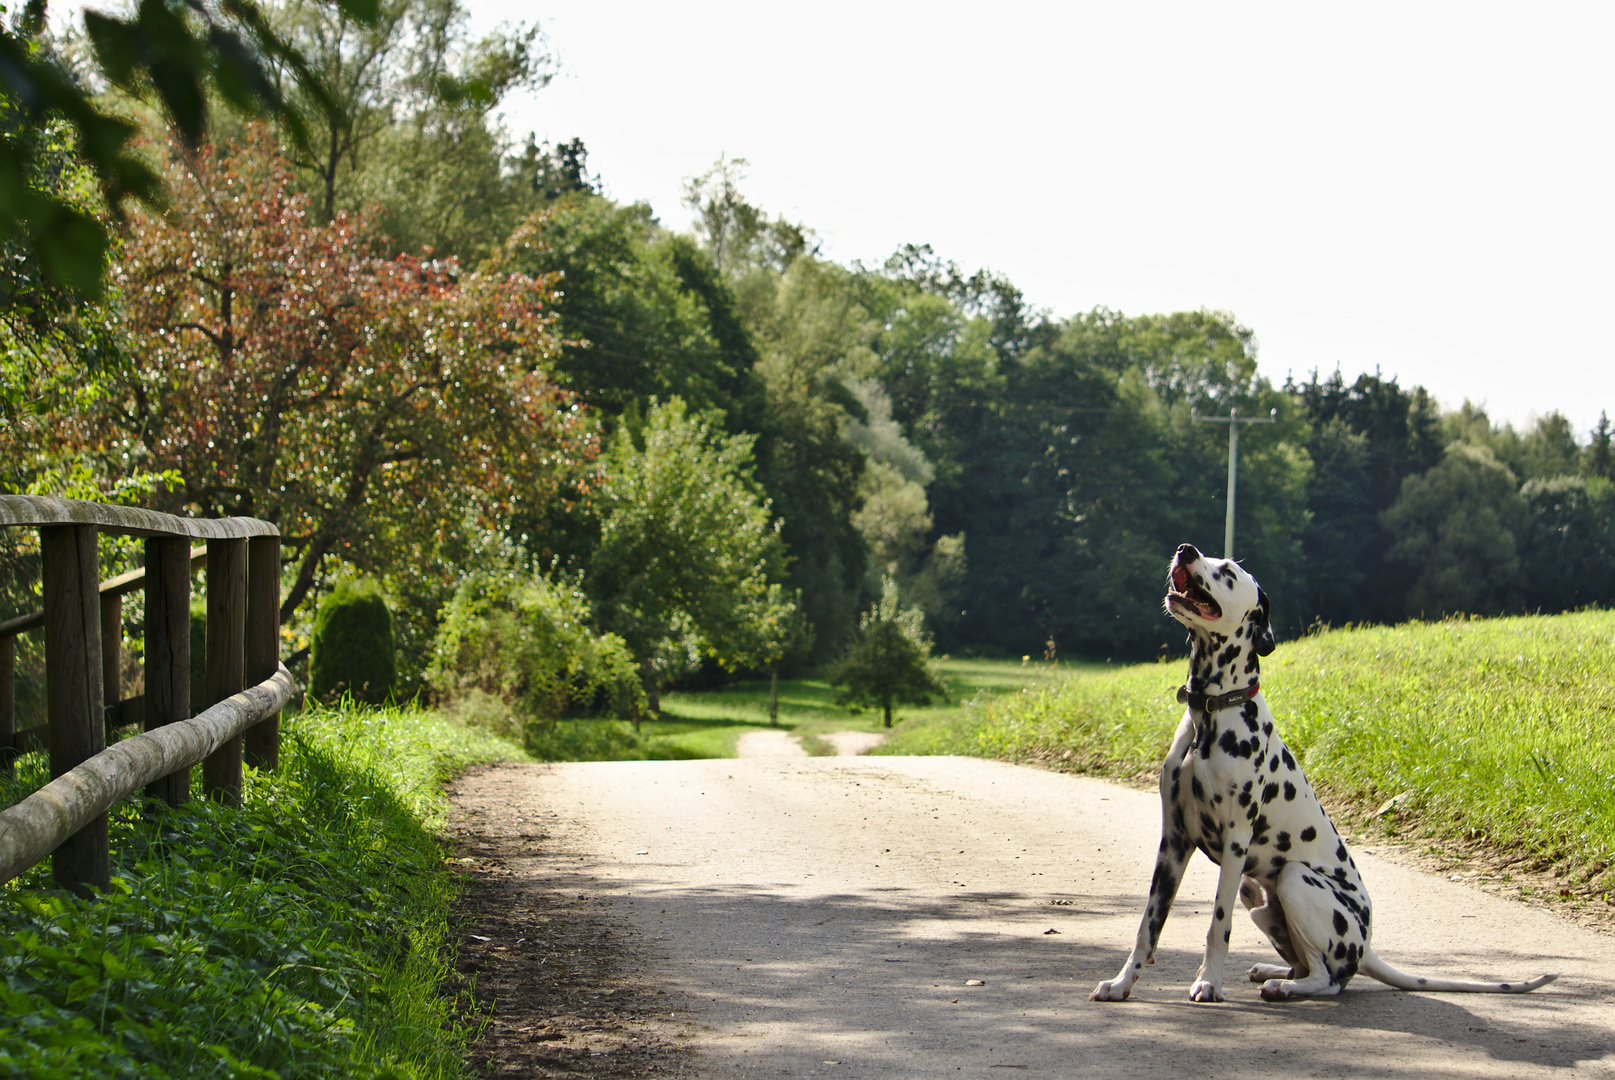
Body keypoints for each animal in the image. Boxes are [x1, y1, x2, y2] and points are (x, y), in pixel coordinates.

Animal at [1091, 548, 1556, 1000]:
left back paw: (1284, 987)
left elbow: (1217, 925)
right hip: (1257, 894)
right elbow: (1147, 927)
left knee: (1328, 980)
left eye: (1228, 572)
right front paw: (1121, 983)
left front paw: (1209, 982)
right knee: (1308, 965)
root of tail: (1366, 947)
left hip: (1293, 879)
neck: (1213, 712)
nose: (1185, 550)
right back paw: (1272, 972)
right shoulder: (1173, 843)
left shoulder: (1236, 842)